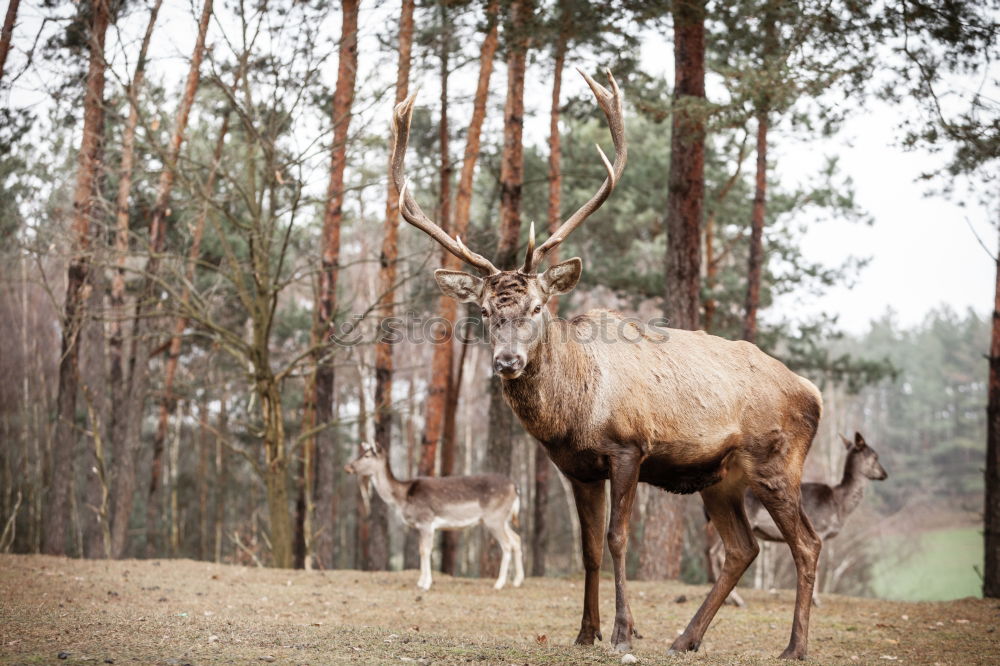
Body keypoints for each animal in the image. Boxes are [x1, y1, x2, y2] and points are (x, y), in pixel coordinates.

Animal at [344, 440, 524, 588]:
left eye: (366, 455)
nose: (348, 467)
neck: (402, 498)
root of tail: (515, 487)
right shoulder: (420, 526)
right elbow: (421, 550)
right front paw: (420, 581)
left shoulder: (426, 521)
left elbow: (425, 550)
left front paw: (425, 584)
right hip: (504, 519)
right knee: (516, 539)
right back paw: (517, 581)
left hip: (494, 518)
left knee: (507, 544)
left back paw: (499, 583)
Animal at [390, 68, 820, 660]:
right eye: (484, 311)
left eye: (538, 306)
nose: (507, 361)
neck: (574, 414)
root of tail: (813, 393)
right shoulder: (575, 467)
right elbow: (589, 547)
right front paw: (585, 631)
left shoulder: (629, 448)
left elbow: (618, 539)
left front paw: (622, 632)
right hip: (722, 476)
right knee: (743, 548)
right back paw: (685, 639)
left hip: (777, 462)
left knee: (807, 542)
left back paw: (794, 646)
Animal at [708, 430, 888, 608]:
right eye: (875, 456)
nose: (884, 474)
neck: (838, 506)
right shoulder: (820, 528)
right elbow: (818, 563)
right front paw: (817, 601)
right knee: (718, 552)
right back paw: (737, 599)